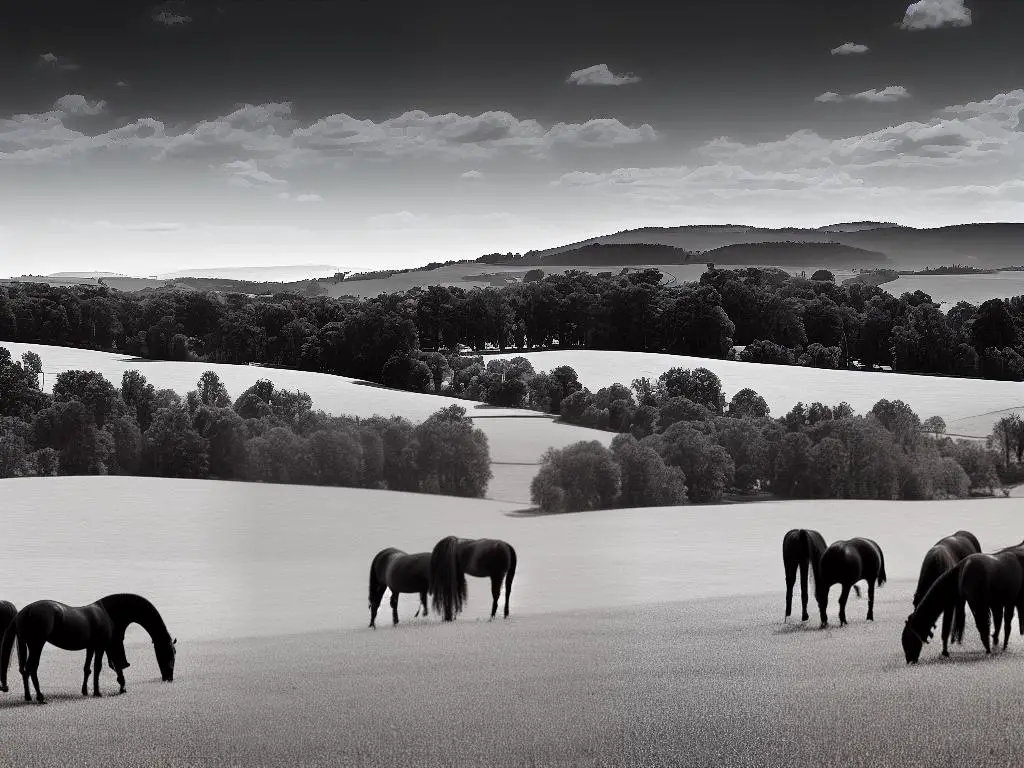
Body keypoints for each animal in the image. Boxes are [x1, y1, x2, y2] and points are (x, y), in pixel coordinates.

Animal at [0, 593, 176, 704]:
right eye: (169, 653)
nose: (169, 677)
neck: (107, 613)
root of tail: (23, 612)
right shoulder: (101, 646)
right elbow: (99, 667)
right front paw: (98, 692)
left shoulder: (91, 647)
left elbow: (88, 668)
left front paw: (85, 691)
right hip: (37, 644)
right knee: (32, 668)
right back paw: (40, 697)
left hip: (26, 643)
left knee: (24, 670)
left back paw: (28, 696)